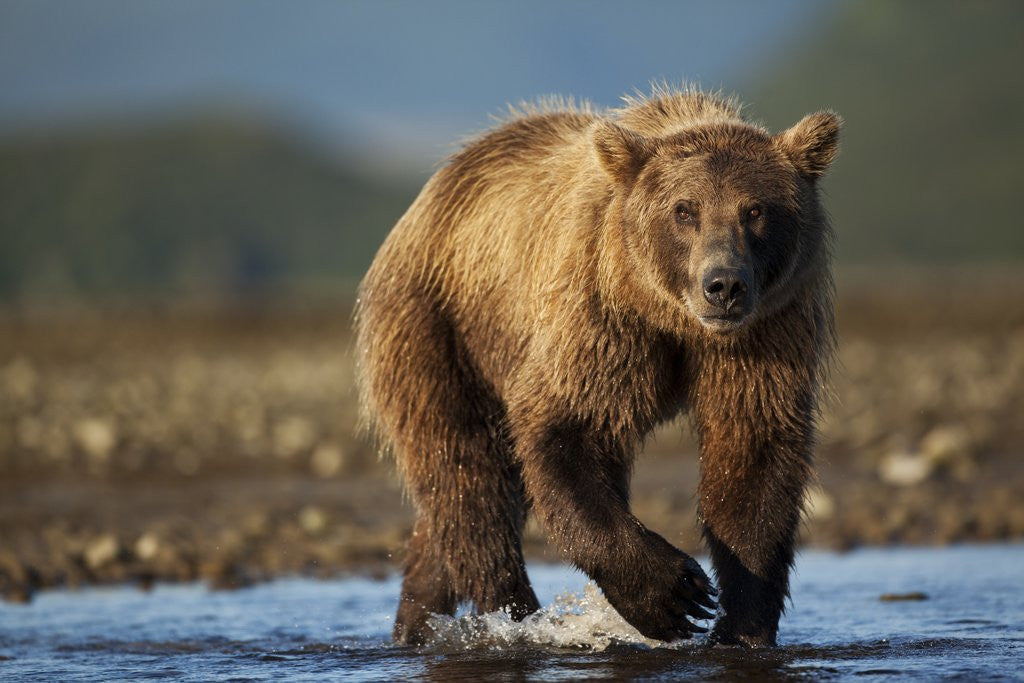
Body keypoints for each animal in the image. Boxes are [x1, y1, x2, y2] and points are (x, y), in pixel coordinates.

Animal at [355, 85, 840, 648]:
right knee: (467, 474)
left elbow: (751, 452)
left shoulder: (766, 331)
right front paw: (671, 594)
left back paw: (417, 620)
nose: (723, 285)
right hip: (439, 327)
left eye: (755, 210)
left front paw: (740, 627)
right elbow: (571, 428)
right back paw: (513, 611)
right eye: (685, 210)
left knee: (453, 502)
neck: (674, 320)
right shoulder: (600, 314)